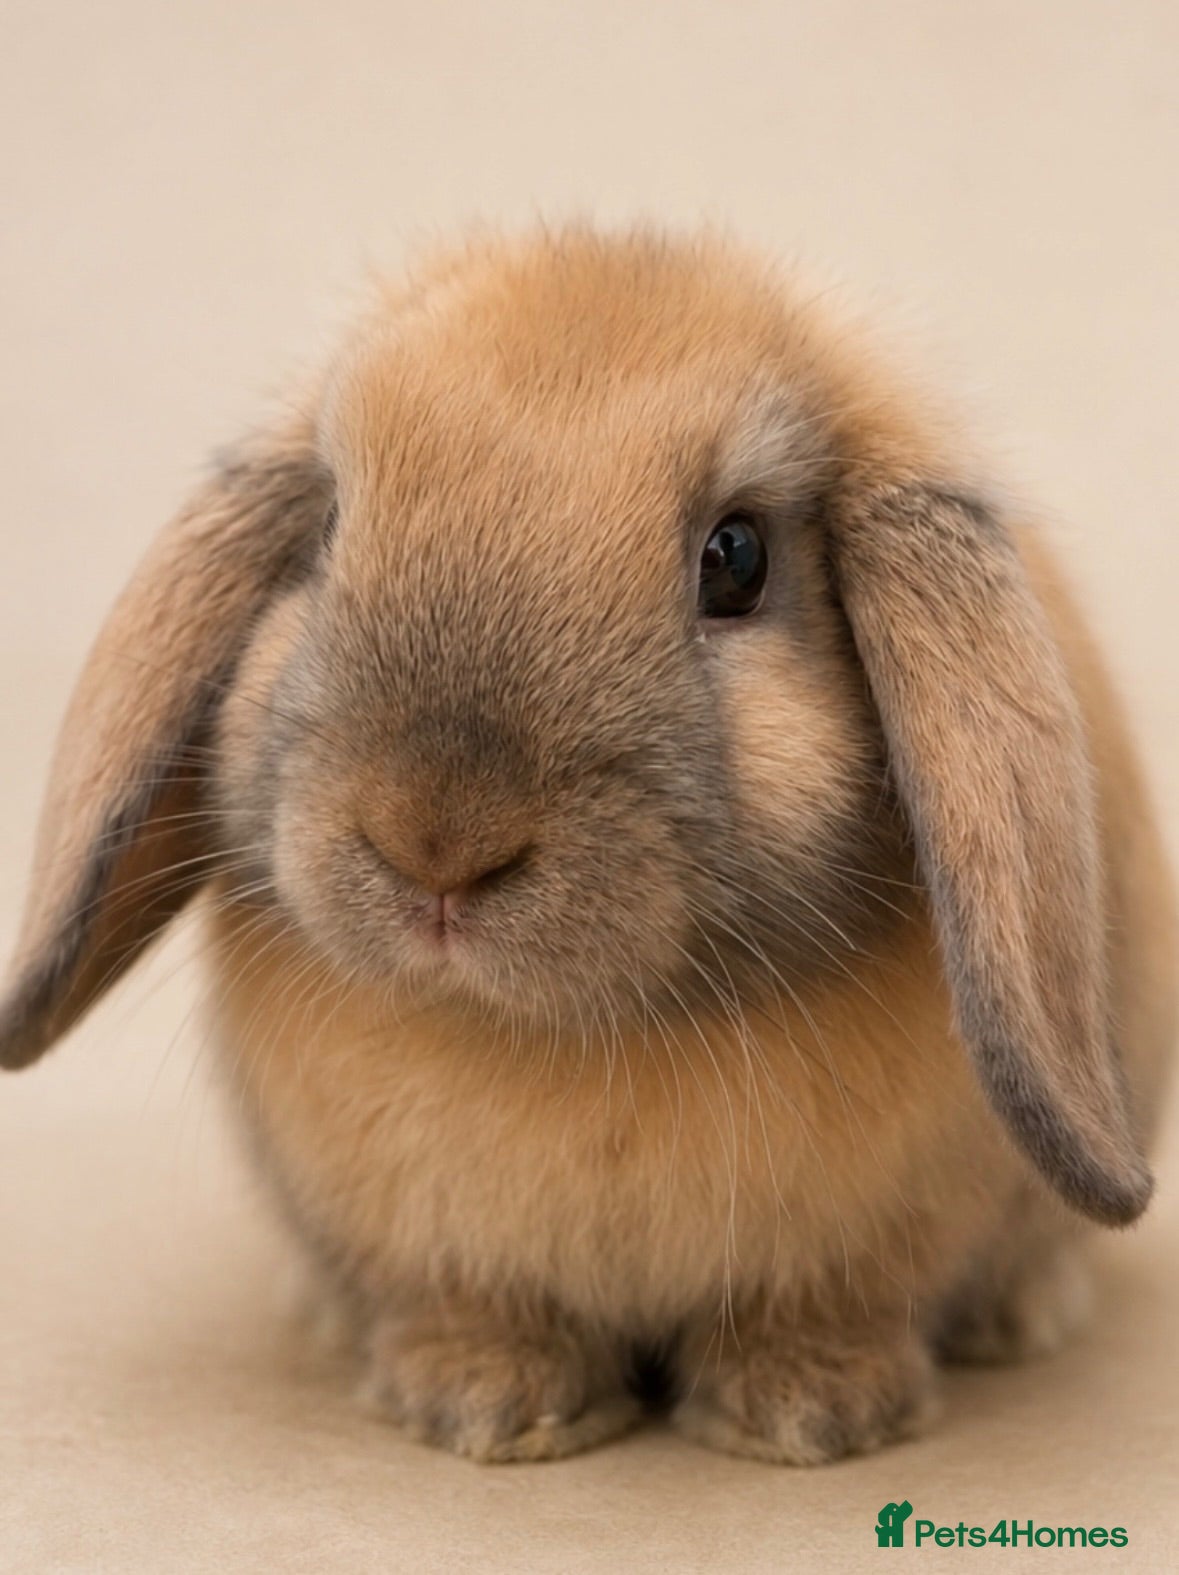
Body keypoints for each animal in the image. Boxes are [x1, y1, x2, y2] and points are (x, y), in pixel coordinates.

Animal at [1, 227, 1174, 1466]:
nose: (437, 845)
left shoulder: (869, 1247)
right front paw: (484, 1407)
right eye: (324, 532)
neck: (558, 1040)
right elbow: (475, 1308)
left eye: (736, 558)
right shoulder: (444, 1251)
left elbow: (827, 1310)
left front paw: (807, 1415)